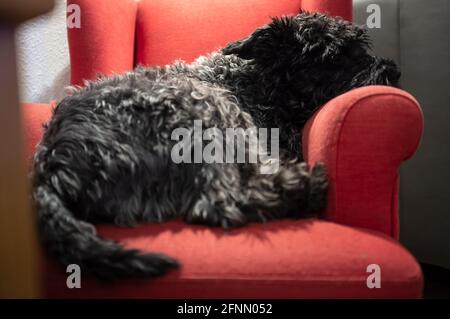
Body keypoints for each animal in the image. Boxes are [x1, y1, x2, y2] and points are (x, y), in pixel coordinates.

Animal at [31, 12, 400, 278]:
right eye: (338, 56)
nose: (394, 71)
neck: (261, 82)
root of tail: (50, 167)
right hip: (204, 112)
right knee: (219, 205)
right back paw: (303, 188)